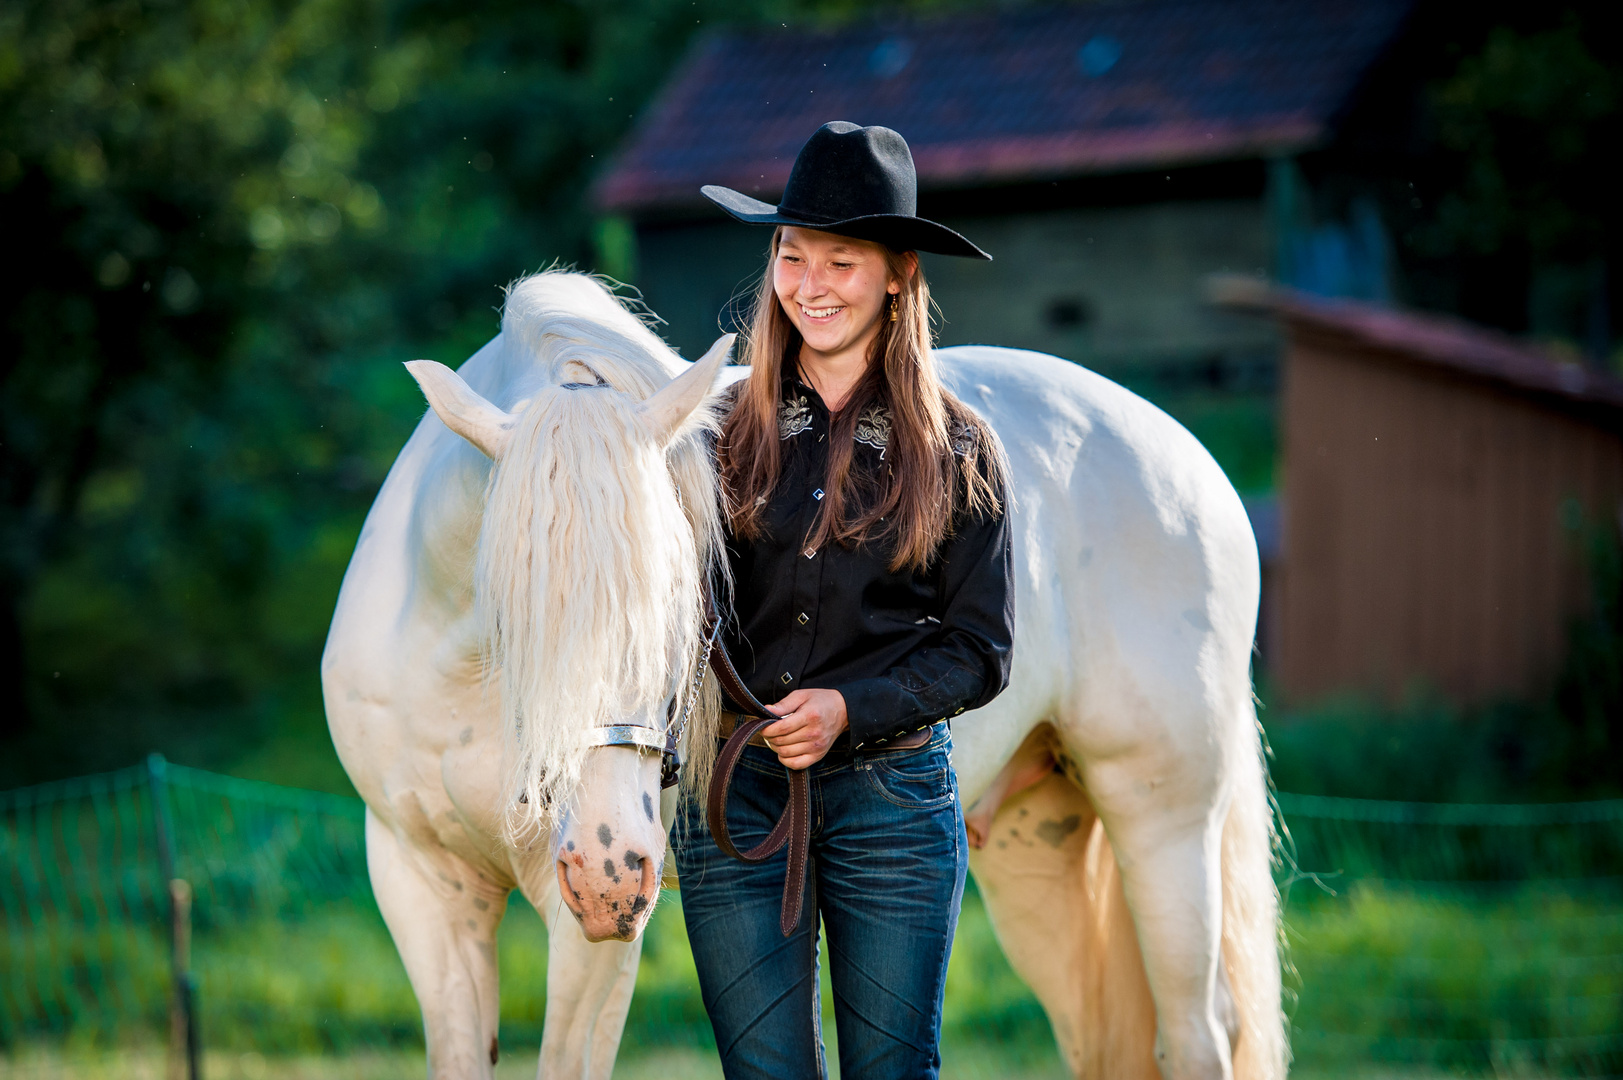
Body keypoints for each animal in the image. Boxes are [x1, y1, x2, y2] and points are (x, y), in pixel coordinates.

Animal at [322, 271, 1285, 1078]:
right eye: (510, 603)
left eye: (683, 600)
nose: (612, 870)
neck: (461, 681)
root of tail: (1178, 454)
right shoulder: (420, 881)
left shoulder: (588, 932)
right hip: (1035, 838)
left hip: (1162, 821)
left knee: (1197, 1033)